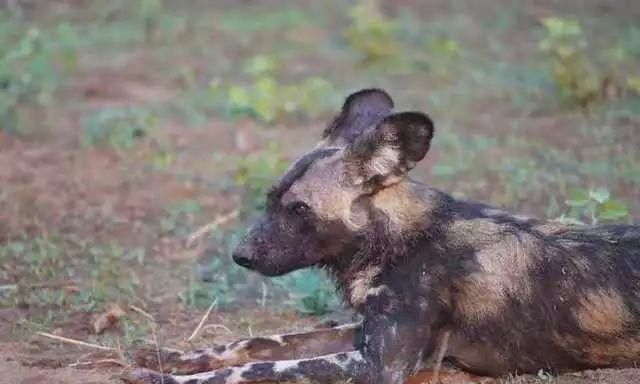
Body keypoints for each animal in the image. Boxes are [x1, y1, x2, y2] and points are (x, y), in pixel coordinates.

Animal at [129, 89, 640, 384]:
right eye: (270, 199)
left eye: (299, 210)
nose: (241, 255)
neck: (400, 242)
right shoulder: (359, 336)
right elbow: (259, 344)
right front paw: (170, 358)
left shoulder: (378, 364)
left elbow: (259, 368)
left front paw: (170, 380)